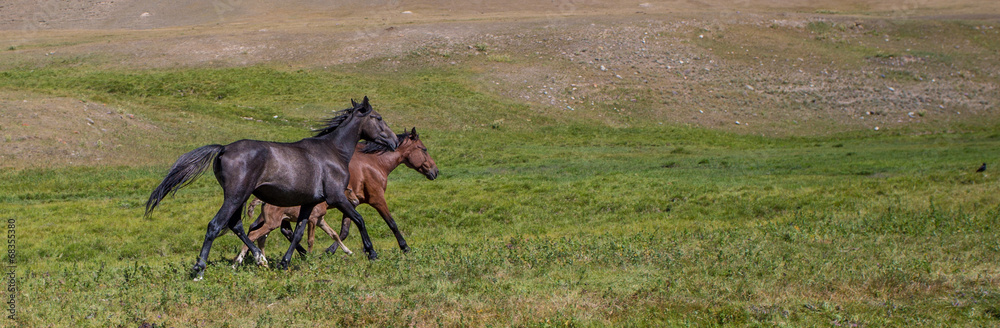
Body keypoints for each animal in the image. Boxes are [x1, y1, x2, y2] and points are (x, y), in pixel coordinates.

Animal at [145, 95, 394, 280]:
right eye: (378, 117)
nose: (393, 141)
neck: (333, 151)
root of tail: (223, 148)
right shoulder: (336, 197)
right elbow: (359, 219)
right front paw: (372, 253)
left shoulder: (309, 202)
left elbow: (298, 232)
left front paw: (285, 263)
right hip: (235, 196)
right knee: (216, 225)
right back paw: (200, 270)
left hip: (240, 197)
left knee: (237, 226)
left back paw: (260, 259)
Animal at [238, 128, 438, 258]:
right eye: (424, 149)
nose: (435, 172)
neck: (374, 163)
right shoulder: (377, 199)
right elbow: (392, 223)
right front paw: (405, 247)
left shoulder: (351, 203)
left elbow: (344, 231)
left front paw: (332, 250)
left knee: (266, 228)